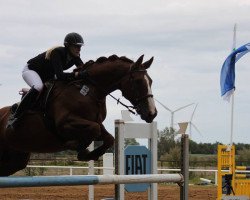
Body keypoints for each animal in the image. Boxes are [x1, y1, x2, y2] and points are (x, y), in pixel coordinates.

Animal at [0, 54, 156, 176]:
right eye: (138, 81)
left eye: (151, 81)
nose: (152, 113)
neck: (90, 91)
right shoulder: (65, 124)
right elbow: (94, 130)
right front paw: (77, 147)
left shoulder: (95, 122)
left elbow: (108, 138)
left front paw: (88, 153)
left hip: (16, 159)